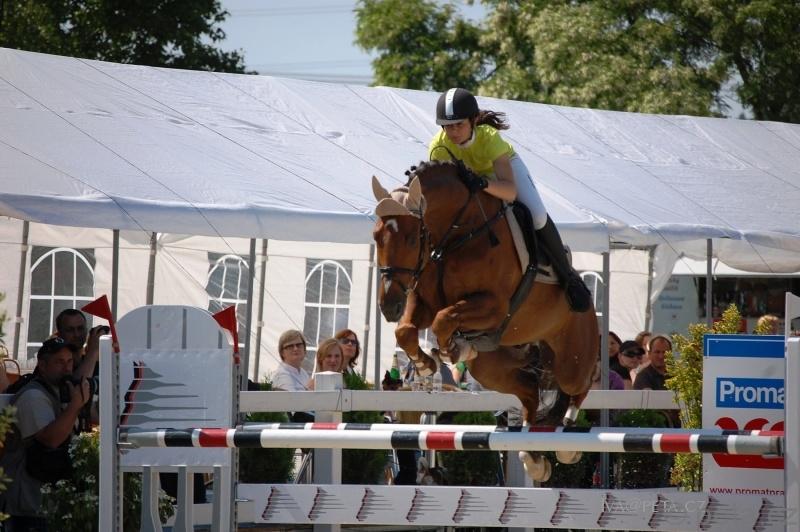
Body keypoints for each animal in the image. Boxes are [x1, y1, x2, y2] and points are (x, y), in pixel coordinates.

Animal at [371, 160, 599, 481]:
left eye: (412, 238)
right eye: (376, 236)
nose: (389, 306)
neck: (457, 236)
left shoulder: (494, 305)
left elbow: (444, 319)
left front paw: (450, 349)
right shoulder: (423, 302)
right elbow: (406, 330)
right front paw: (427, 363)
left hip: (573, 360)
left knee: (580, 383)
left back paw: (566, 439)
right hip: (491, 369)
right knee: (530, 392)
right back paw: (533, 456)